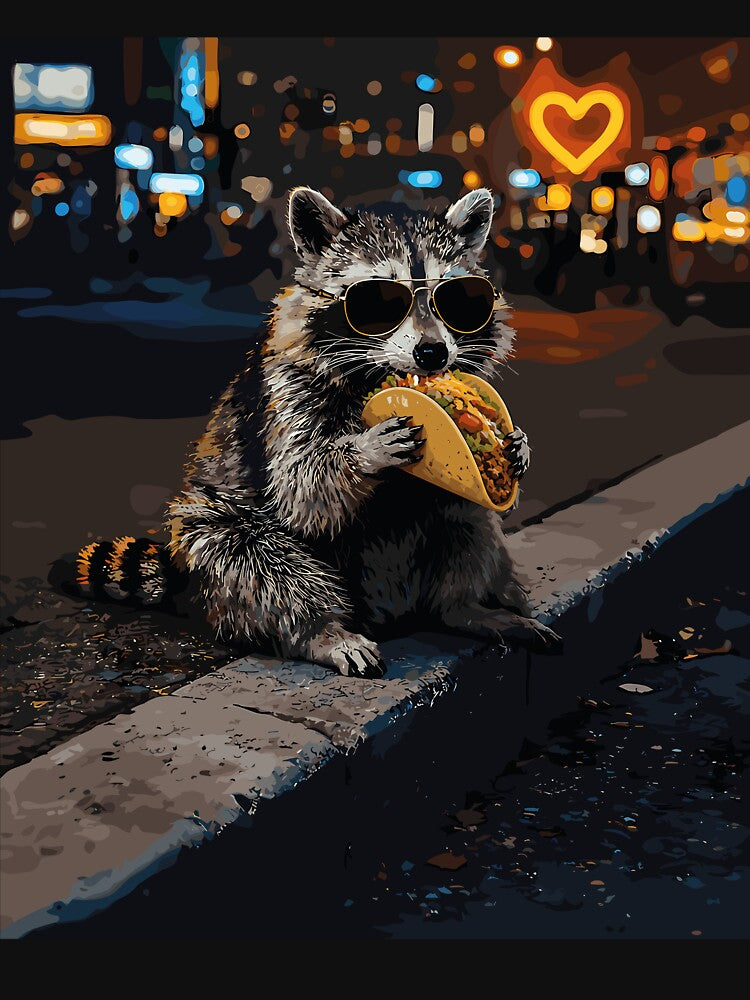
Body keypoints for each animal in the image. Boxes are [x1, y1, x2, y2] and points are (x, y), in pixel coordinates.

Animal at [76, 186, 559, 677]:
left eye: (458, 298)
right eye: (379, 300)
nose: (432, 353)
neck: (374, 374)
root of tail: (390, 610)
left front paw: (518, 444)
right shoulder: (287, 390)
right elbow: (300, 487)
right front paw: (363, 453)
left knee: (466, 515)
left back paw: (465, 607)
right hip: (220, 535)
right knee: (249, 555)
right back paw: (320, 630)